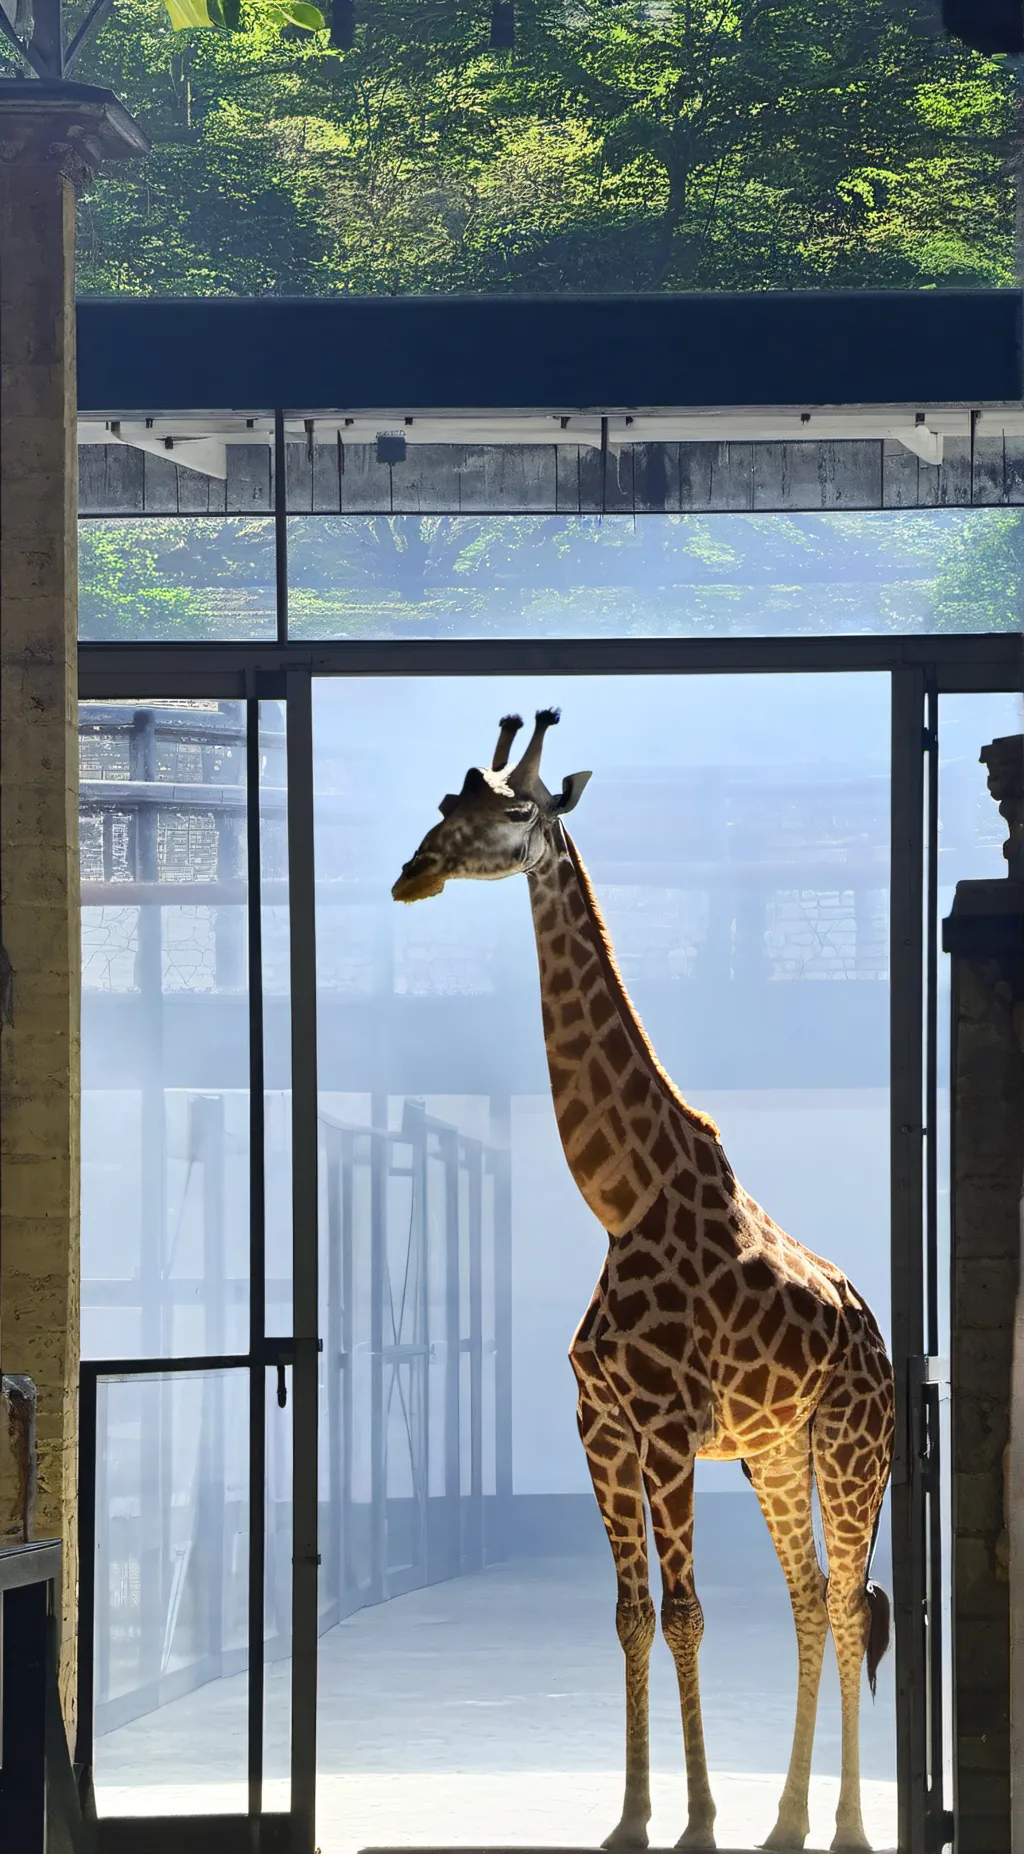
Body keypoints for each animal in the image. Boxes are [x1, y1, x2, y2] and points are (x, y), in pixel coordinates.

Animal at [392, 708, 895, 1854]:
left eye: (515, 812)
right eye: (445, 803)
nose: (411, 874)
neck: (621, 1200)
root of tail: (880, 1338)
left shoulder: (665, 1428)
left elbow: (687, 1612)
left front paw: (698, 1820)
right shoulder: (603, 1429)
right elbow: (630, 1615)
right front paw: (631, 1819)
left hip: (853, 1451)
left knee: (851, 1598)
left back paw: (845, 1825)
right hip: (775, 1453)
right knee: (809, 1595)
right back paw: (786, 1822)